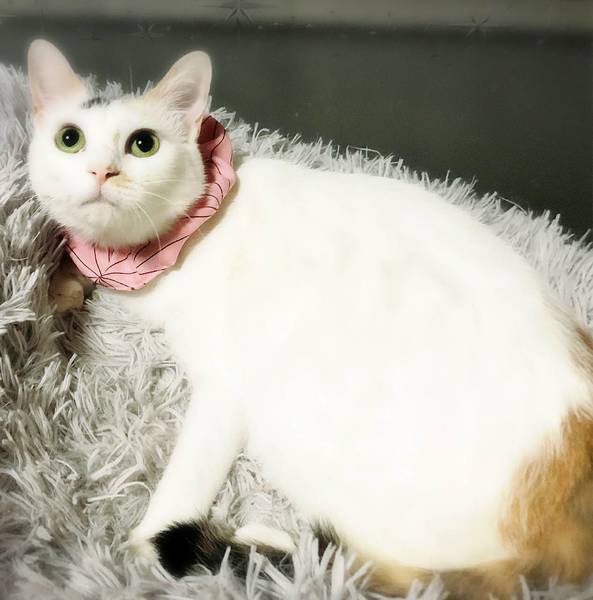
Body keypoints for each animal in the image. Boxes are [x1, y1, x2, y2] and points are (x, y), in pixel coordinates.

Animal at [27, 39, 593, 599]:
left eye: (143, 144)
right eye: (70, 139)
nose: (102, 171)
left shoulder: (225, 390)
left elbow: (183, 481)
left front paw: (138, 555)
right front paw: (60, 288)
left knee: (353, 568)